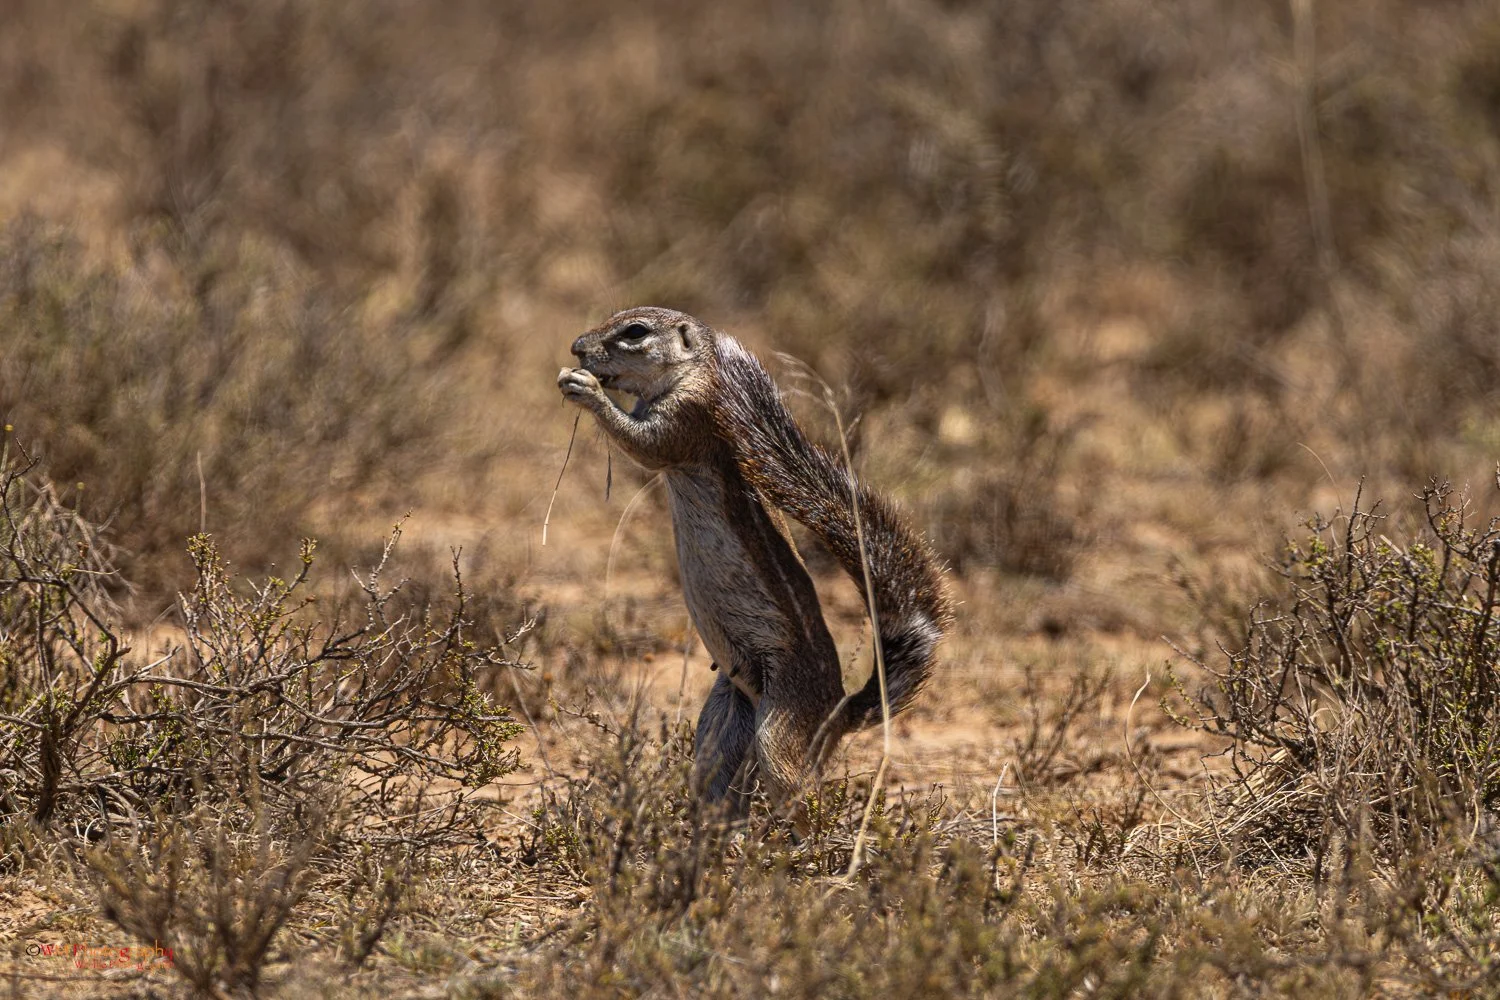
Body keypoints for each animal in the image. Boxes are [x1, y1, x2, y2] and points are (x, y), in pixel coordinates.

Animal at [557, 306, 953, 811]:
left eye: (636, 331)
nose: (576, 348)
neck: (697, 372)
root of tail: (839, 713)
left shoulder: (688, 417)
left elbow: (644, 446)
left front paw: (584, 388)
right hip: (724, 717)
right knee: (721, 779)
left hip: (780, 727)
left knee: (798, 790)